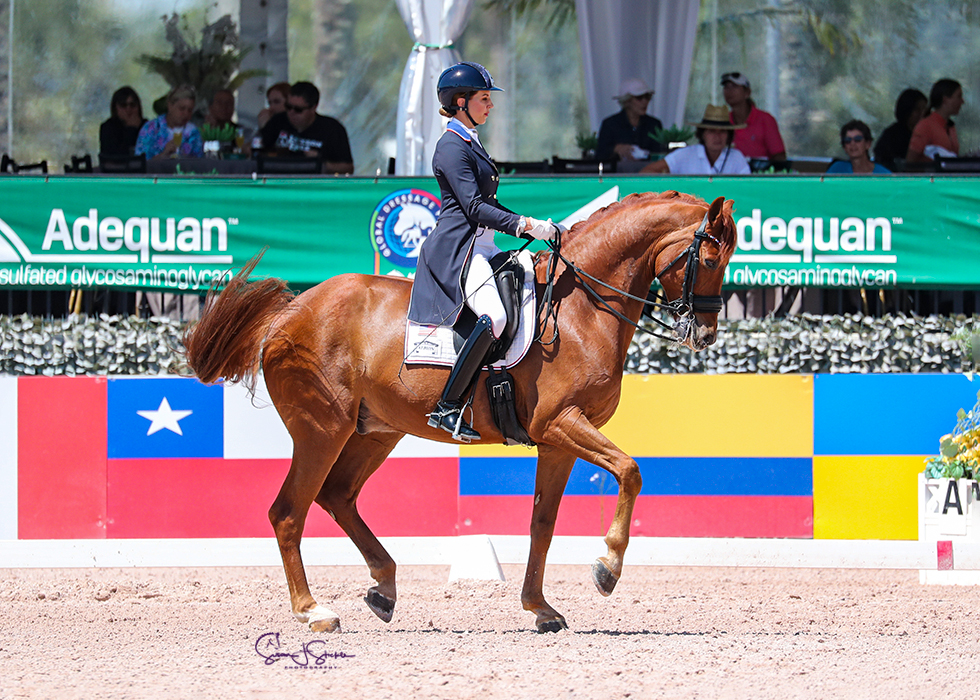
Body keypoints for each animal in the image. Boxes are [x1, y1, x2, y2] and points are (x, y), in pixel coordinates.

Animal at [184, 191, 736, 636]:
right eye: (710, 257)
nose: (706, 335)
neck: (581, 308)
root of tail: (291, 310)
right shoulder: (560, 423)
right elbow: (630, 470)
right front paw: (607, 569)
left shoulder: (556, 440)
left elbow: (543, 522)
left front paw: (541, 608)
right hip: (322, 429)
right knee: (288, 512)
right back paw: (313, 611)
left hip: (375, 431)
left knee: (337, 496)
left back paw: (384, 588)